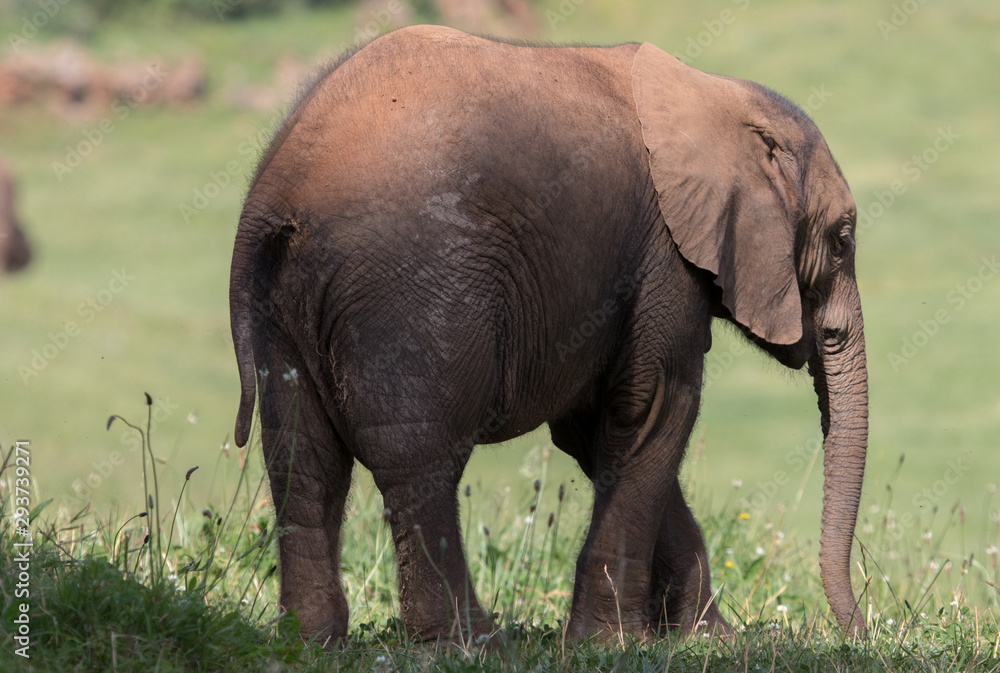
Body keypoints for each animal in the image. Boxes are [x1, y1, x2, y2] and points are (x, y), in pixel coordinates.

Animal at [229, 25, 868, 644]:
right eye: (842, 241)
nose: (860, 631)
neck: (715, 93)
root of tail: (273, 195)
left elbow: (595, 428)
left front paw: (709, 641)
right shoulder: (664, 255)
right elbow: (655, 408)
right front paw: (614, 644)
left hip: (283, 301)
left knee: (301, 457)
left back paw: (309, 642)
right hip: (409, 285)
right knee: (417, 458)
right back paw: (470, 643)